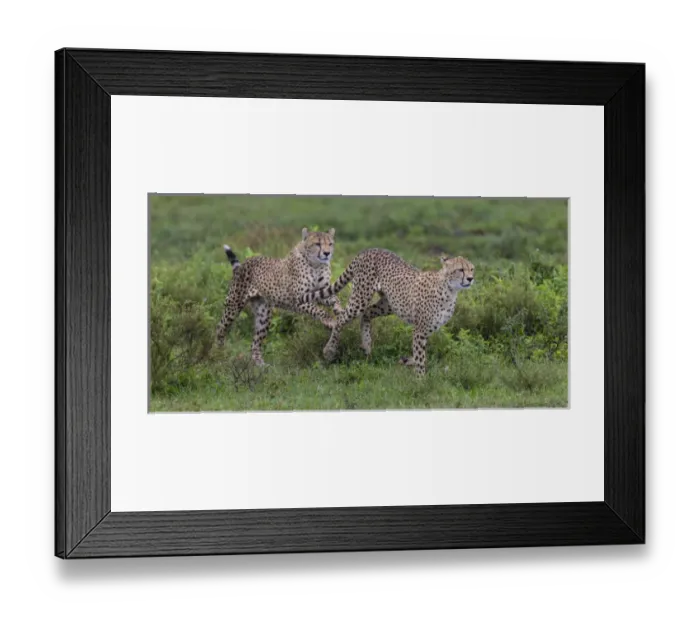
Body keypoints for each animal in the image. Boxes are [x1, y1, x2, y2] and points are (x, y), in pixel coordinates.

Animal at [216, 227, 344, 366]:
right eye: (317, 244)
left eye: (330, 244)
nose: (327, 253)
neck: (316, 265)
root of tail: (245, 263)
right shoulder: (298, 300)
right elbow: (318, 310)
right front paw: (330, 320)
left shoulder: (322, 292)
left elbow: (336, 300)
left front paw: (340, 311)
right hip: (233, 305)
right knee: (220, 328)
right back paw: (219, 354)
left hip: (263, 315)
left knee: (255, 343)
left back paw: (260, 364)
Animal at [301, 248, 475, 376]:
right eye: (460, 269)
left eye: (472, 269)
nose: (471, 278)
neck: (450, 290)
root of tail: (370, 249)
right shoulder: (420, 330)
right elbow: (420, 357)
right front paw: (421, 380)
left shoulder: (427, 329)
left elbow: (419, 354)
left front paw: (407, 361)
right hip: (361, 297)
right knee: (342, 318)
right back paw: (330, 350)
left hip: (389, 304)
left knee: (367, 313)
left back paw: (367, 344)